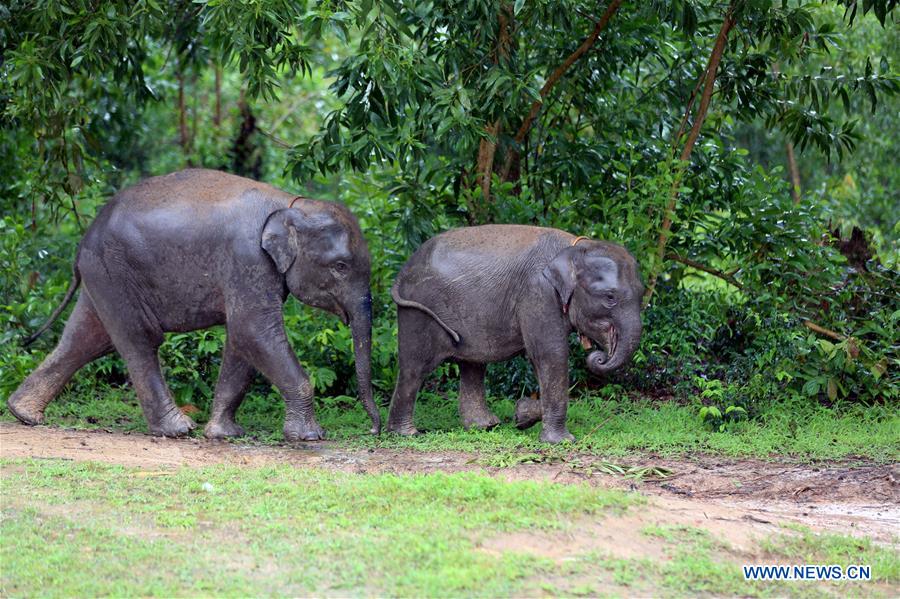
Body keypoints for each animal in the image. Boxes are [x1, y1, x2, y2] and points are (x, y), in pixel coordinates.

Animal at [3, 169, 378, 440]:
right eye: (340, 266)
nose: (374, 429)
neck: (292, 203)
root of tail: (84, 240)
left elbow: (241, 340)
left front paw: (223, 434)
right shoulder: (248, 261)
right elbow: (253, 331)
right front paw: (310, 438)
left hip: (104, 276)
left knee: (86, 339)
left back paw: (24, 414)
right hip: (116, 273)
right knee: (139, 341)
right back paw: (177, 430)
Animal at [384, 225, 640, 446]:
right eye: (609, 297)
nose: (598, 357)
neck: (574, 247)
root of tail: (402, 272)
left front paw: (522, 415)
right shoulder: (538, 294)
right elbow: (550, 355)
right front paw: (561, 441)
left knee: (473, 365)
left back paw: (485, 426)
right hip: (417, 310)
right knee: (415, 368)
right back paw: (407, 434)